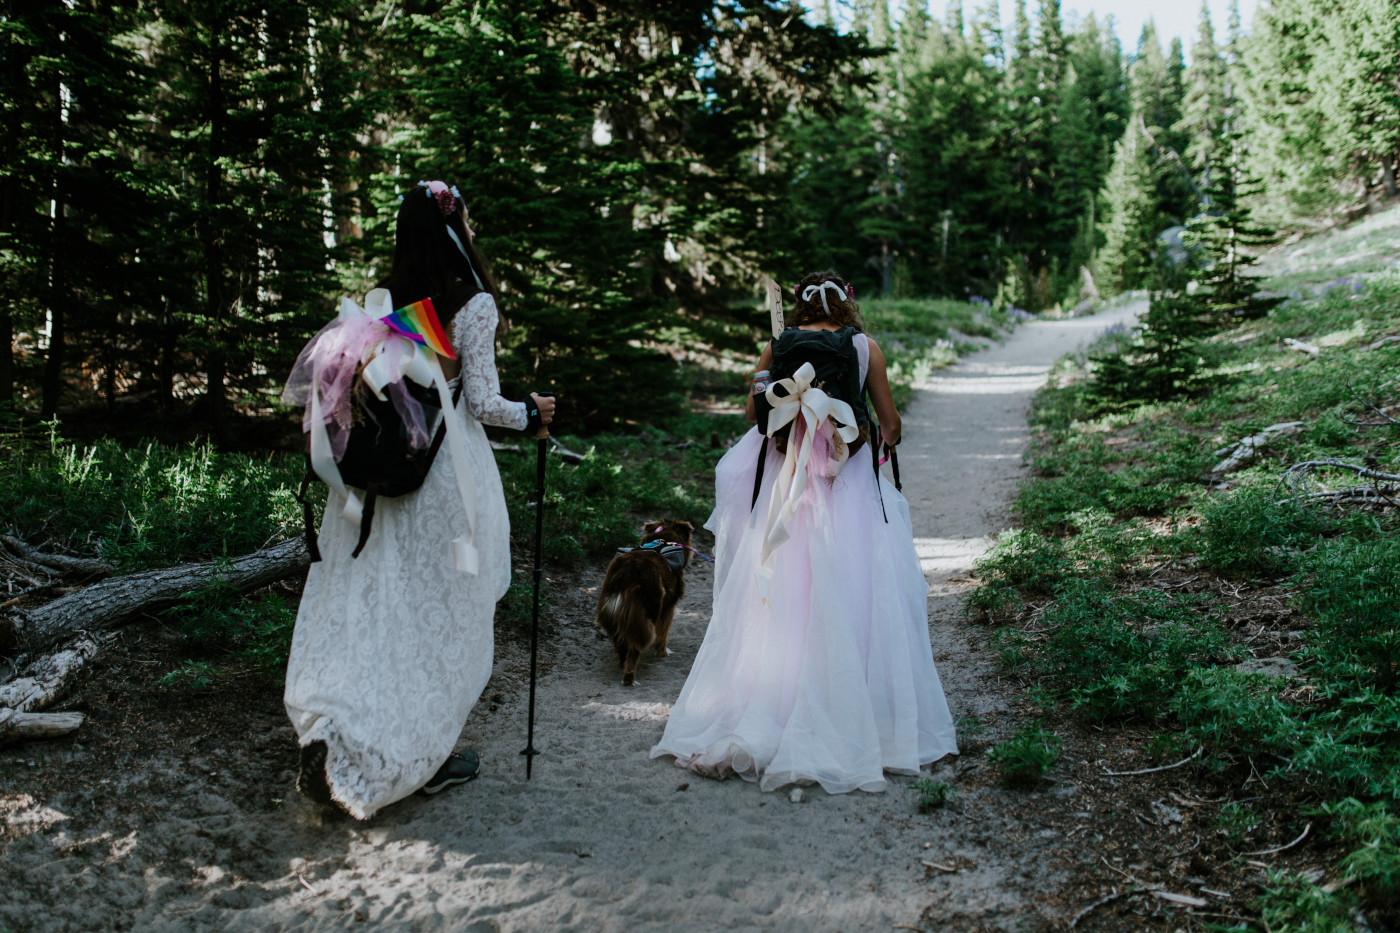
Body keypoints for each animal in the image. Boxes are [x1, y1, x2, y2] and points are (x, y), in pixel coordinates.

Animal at [596, 515, 694, 683]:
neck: (663, 540)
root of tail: (627, 572)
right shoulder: (669, 606)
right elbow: (663, 633)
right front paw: (663, 652)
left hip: (612, 612)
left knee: (620, 642)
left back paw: (622, 663)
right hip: (649, 609)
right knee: (634, 647)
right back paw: (629, 677)